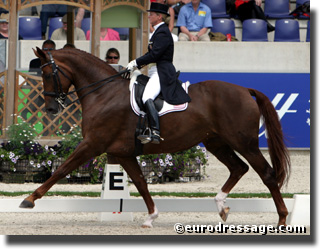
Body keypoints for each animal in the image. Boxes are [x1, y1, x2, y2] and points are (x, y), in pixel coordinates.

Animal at [18, 47, 292, 228]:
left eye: (47, 74)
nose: (51, 108)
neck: (104, 92)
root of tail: (245, 90)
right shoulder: (122, 152)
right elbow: (141, 182)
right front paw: (151, 217)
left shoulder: (92, 144)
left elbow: (61, 169)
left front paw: (29, 200)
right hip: (216, 142)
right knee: (238, 168)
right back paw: (220, 206)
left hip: (244, 143)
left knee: (266, 174)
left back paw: (281, 219)